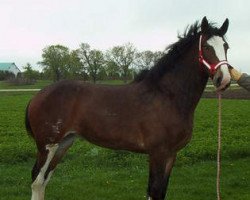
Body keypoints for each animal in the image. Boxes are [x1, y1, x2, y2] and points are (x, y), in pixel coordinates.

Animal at [25, 17, 230, 200]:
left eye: (226, 46)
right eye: (207, 47)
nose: (224, 79)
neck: (167, 95)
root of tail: (38, 95)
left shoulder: (171, 155)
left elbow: (161, 192)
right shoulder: (158, 153)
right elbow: (154, 192)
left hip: (63, 144)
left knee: (44, 180)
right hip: (47, 146)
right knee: (36, 180)